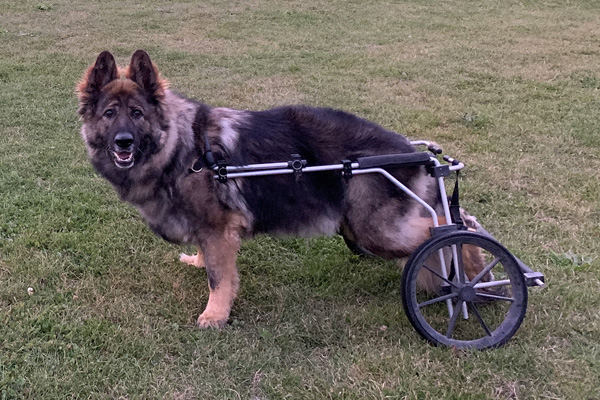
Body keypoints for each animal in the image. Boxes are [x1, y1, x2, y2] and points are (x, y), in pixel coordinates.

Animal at [77, 50, 488, 328]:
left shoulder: (218, 229)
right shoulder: (209, 230)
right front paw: (197, 262)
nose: (123, 143)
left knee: (453, 227)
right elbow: (210, 261)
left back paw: (474, 280)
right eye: (110, 114)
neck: (183, 147)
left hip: (377, 230)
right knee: (455, 218)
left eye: (137, 114)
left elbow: (219, 277)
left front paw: (215, 314)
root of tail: (410, 150)